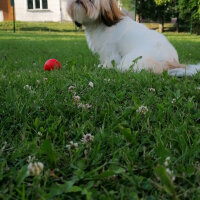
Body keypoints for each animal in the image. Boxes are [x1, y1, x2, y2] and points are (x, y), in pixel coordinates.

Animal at [66, 0, 199, 76]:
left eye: (91, 0)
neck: (100, 23)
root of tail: (173, 61)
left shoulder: (111, 51)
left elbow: (109, 60)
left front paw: (104, 67)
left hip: (135, 58)